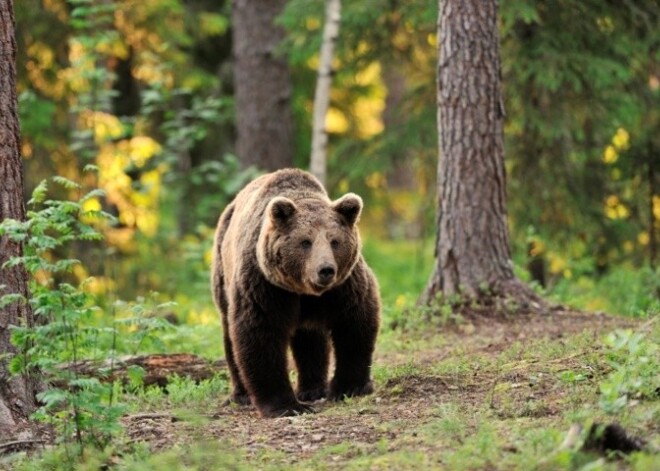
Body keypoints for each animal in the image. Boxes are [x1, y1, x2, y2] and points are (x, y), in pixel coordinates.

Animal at [211, 168, 382, 418]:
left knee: (310, 337)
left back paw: (313, 388)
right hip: (223, 272)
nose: (325, 270)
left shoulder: (343, 286)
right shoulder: (266, 286)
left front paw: (350, 387)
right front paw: (285, 405)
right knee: (229, 335)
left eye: (334, 241)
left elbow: (354, 323)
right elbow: (260, 334)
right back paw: (241, 394)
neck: (303, 289)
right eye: (305, 241)